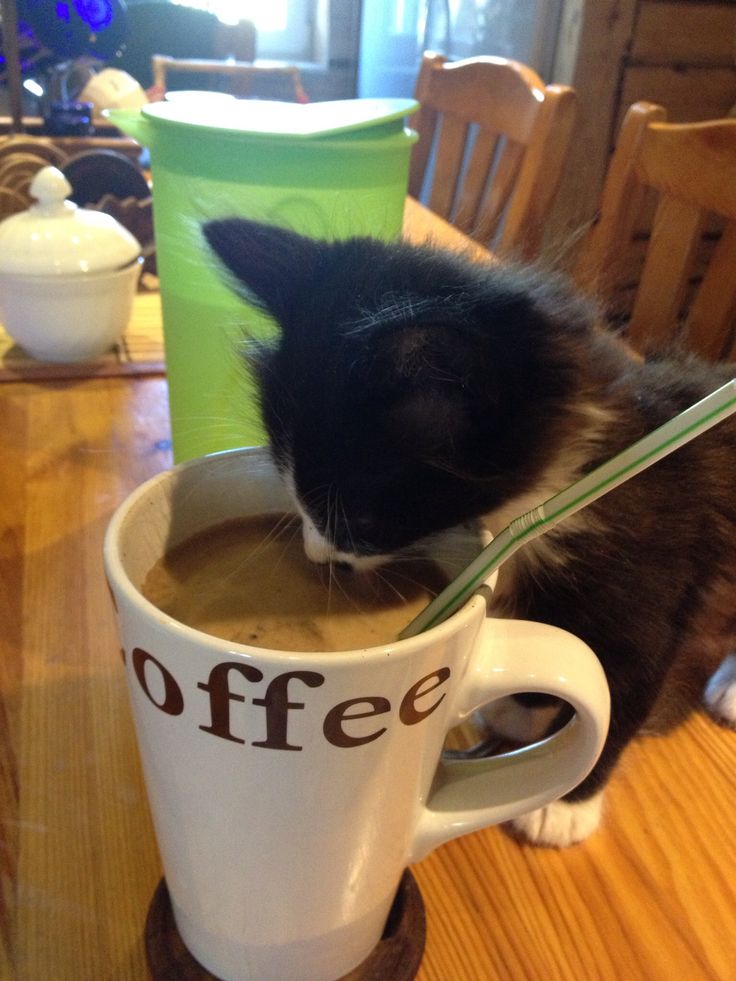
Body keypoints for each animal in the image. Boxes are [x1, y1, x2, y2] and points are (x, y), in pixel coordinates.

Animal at [204, 218, 736, 848]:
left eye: (357, 520)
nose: (317, 557)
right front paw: (523, 708)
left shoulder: (653, 586)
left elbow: (621, 692)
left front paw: (567, 804)